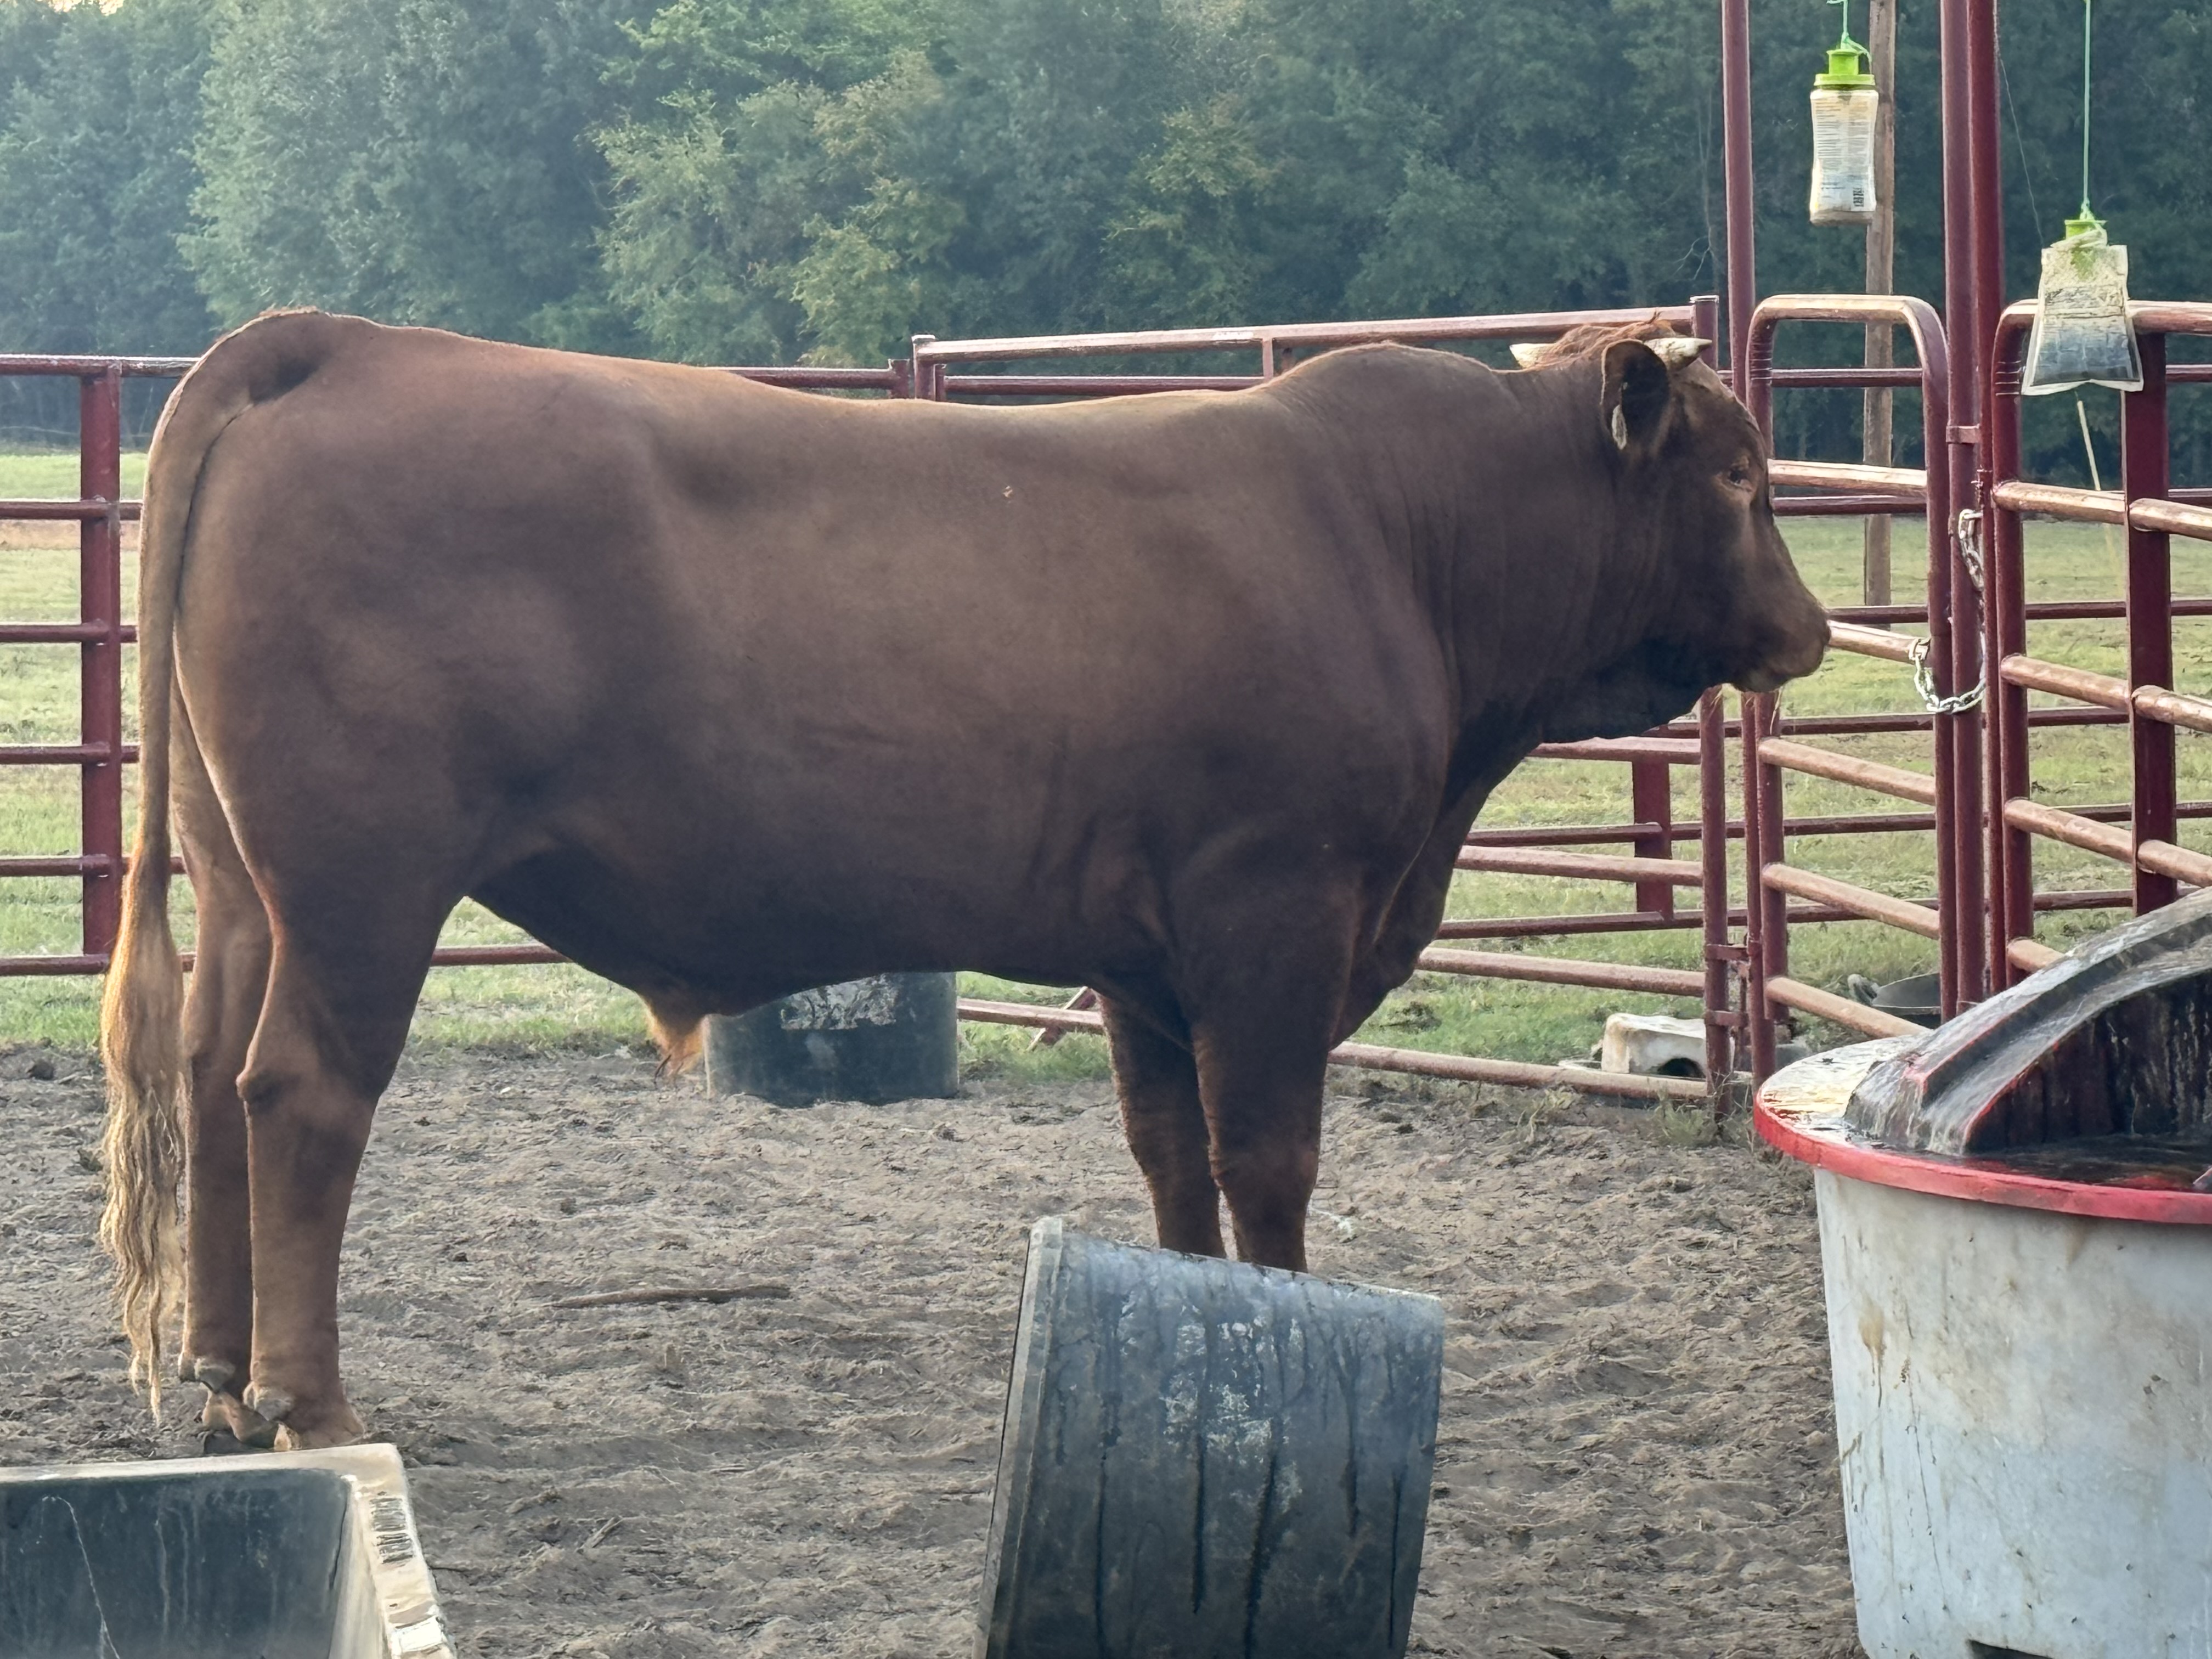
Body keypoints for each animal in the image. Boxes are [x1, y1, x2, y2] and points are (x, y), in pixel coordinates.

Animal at [104, 312, 1822, 1451]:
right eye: (1740, 477)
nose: (1809, 633)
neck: (1403, 541)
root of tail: (345, 341)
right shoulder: (1274, 906)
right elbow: (1267, 1159)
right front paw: (1293, 1330)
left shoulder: (1148, 954)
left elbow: (1172, 1162)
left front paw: (1196, 1327)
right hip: (365, 880)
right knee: (301, 1094)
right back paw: (313, 1403)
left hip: (247, 880)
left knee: (208, 1069)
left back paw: (217, 1377)